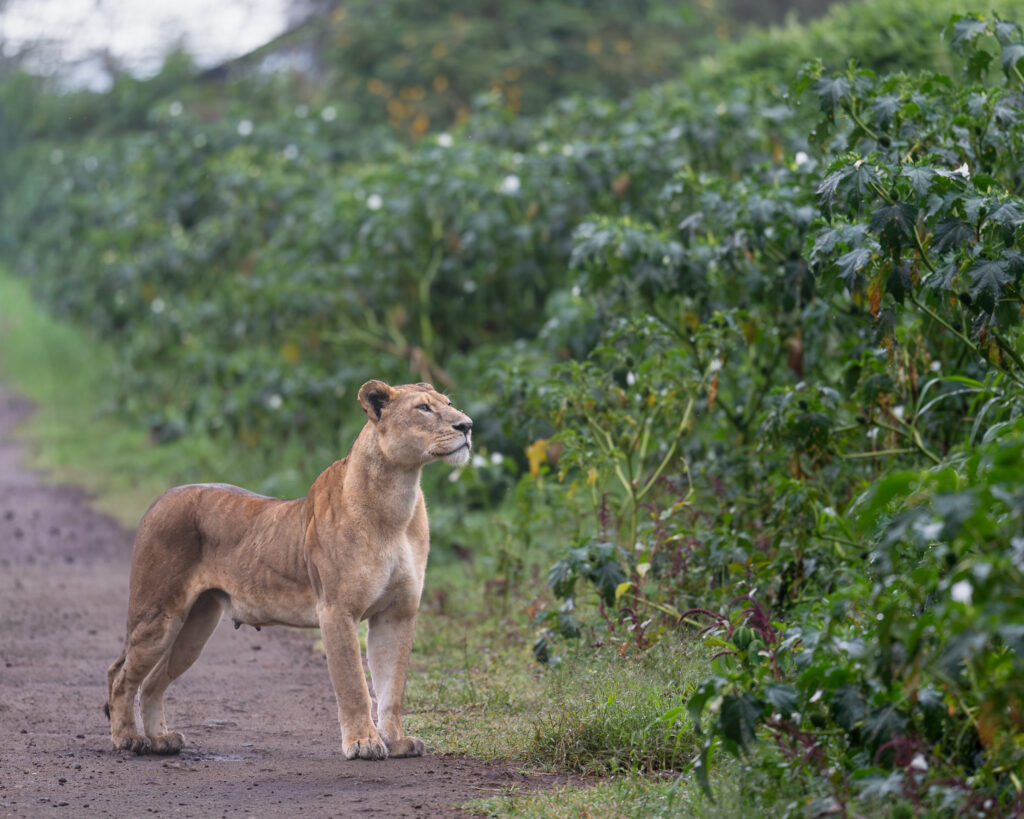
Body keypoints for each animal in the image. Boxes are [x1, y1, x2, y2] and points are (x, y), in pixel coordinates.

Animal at [105, 380, 472, 760]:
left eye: (448, 403)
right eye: (423, 408)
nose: (468, 425)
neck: (399, 496)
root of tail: (161, 497)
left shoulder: (397, 613)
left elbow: (392, 687)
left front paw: (397, 742)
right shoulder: (336, 611)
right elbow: (354, 684)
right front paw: (364, 743)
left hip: (196, 627)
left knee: (152, 681)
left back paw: (160, 739)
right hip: (158, 615)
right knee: (119, 674)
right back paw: (128, 738)